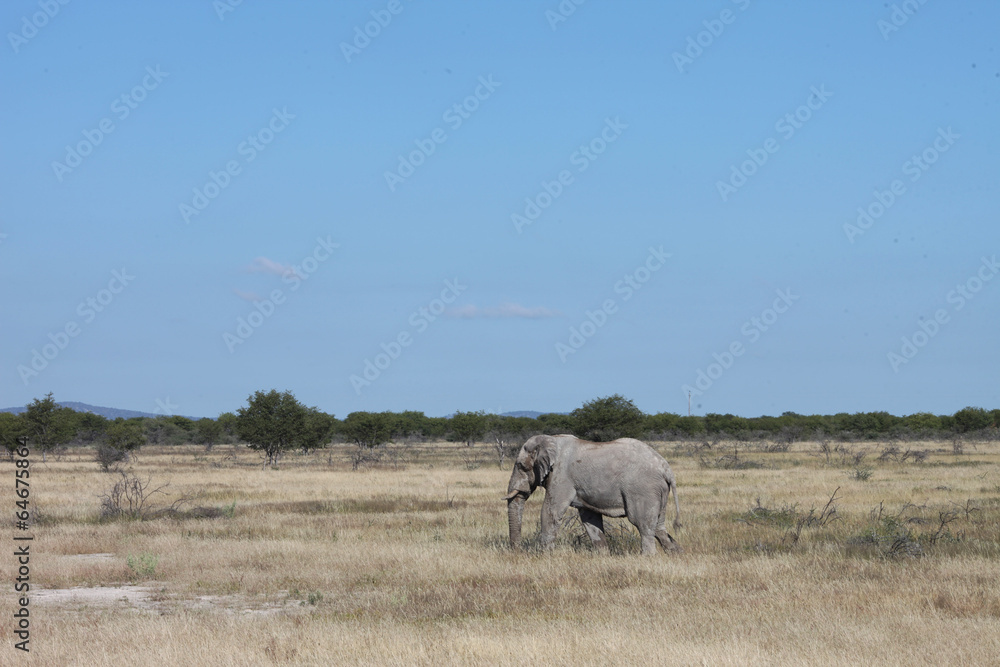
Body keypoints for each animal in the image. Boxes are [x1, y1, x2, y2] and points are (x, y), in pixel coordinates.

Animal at [504, 434, 682, 555]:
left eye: (521, 466)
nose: (517, 552)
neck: (550, 439)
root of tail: (666, 468)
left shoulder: (561, 477)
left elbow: (550, 512)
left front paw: (543, 556)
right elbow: (589, 518)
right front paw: (603, 556)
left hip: (643, 489)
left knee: (643, 524)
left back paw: (647, 557)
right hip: (658, 491)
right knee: (658, 526)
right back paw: (675, 553)